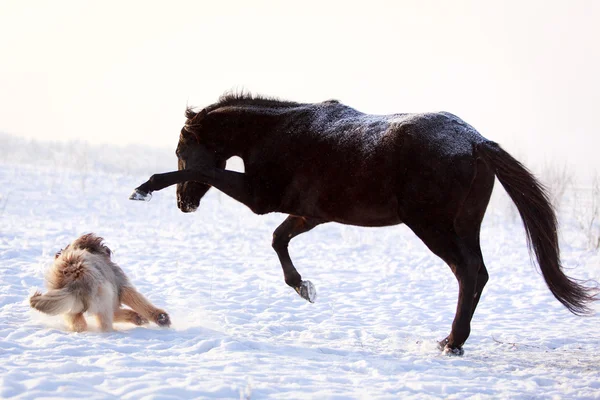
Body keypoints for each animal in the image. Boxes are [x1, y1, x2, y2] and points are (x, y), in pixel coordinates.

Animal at [31, 233, 171, 330]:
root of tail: (76, 278)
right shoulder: (120, 285)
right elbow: (138, 301)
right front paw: (161, 317)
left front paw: (139, 318)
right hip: (102, 295)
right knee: (105, 322)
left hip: (68, 304)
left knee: (77, 321)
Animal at [130, 92, 596, 354]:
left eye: (180, 149)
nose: (183, 205)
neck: (277, 133)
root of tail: (476, 142)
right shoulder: (311, 214)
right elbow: (279, 240)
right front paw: (304, 288)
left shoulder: (260, 198)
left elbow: (208, 174)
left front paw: (144, 187)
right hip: (464, 226)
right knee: (477, 274)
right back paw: (454, 340)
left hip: (432, 227)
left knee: (468, 274)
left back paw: (452, 343)